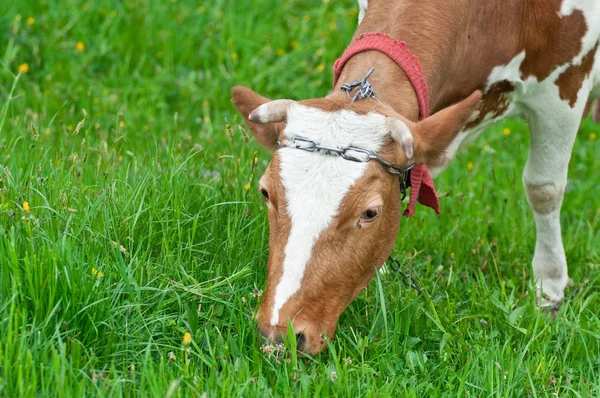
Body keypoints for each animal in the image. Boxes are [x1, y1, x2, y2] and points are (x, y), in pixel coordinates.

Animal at [231, 0, 600, 354]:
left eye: (369, 213)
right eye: (265, 193)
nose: (280, 335)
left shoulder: (565, 86)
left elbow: (543, 188)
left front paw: (550, 286)